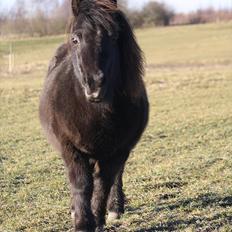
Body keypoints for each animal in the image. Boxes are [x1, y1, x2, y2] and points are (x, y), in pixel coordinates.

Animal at [39, 0, 149, 230]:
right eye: (75, 39)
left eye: (114, 36)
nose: (95, 85)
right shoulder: (70, 147)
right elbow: (81, 184)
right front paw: (82, 222)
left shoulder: (118, 150)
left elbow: (103, 182)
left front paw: (97, 220)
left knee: (116, 175)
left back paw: (115, 208)